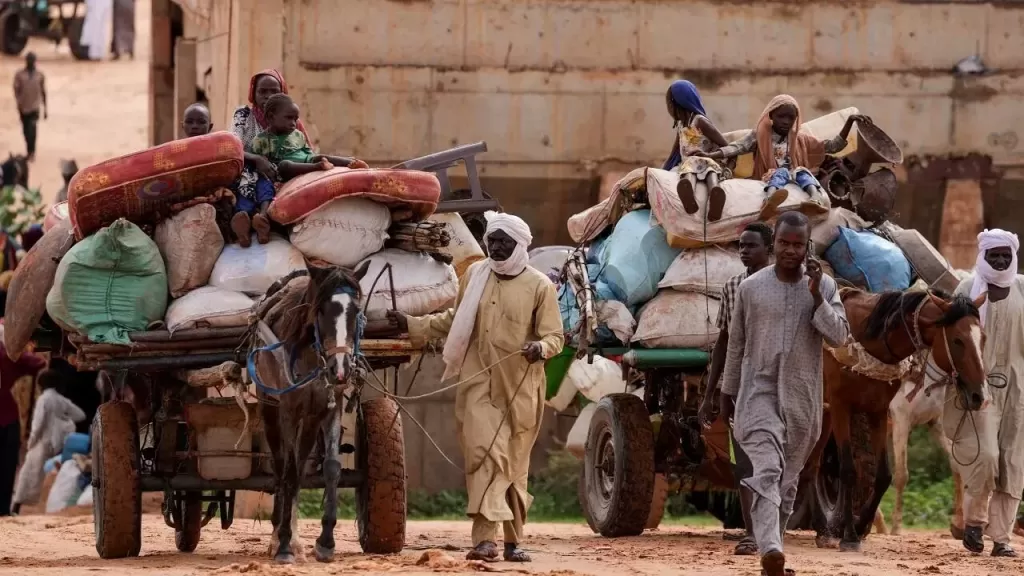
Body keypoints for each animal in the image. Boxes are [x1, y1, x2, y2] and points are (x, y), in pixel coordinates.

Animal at [251, 262, 368, 561]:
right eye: (321, 309)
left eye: (355, 311)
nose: (340, 369)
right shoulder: (290, 410)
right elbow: (290, 472)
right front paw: (282, 543)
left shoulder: (326, 408)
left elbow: (331, 468)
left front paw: (326, 541)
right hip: (270, 407)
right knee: (281, 467)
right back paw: (279, 535)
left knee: (300, 463)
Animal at [811, 289, 987, 549]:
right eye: (957, 340)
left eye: (982, 338)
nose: (979, 396)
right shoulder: (850, 408)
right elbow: (855, 471)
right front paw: (855, 534)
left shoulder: (885, 413)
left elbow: (886, 474)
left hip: (824, 413)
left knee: (812, 461)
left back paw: (827, 528)